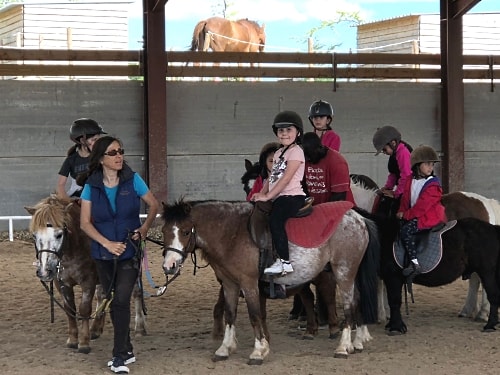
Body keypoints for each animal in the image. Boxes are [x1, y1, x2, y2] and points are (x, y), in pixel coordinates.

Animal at [25, 195, 146, 354]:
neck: (72, 250)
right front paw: (73, 339)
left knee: (136, 293)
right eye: (34, 235)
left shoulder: (88, 281)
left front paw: (83, 342)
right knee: (103, 297)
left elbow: (84, 309)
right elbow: (69, 309)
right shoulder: (62, 283)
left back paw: (140, 327)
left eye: (59, 234)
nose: (45, 270)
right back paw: (96, 329)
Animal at [160, 200, 378, 364]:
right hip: (349, 273)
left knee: (348, 305)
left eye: (186, 231)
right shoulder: (230, 284)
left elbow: (255, 315)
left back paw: (342, 347)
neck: (232, 233)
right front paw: (224, 348)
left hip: (343, 271)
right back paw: (357, 342)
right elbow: (230, 315)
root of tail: (359, 218)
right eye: (163, 231)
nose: (169, 265)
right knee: (357, 300)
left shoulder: (249, 283)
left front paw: (259, 351)